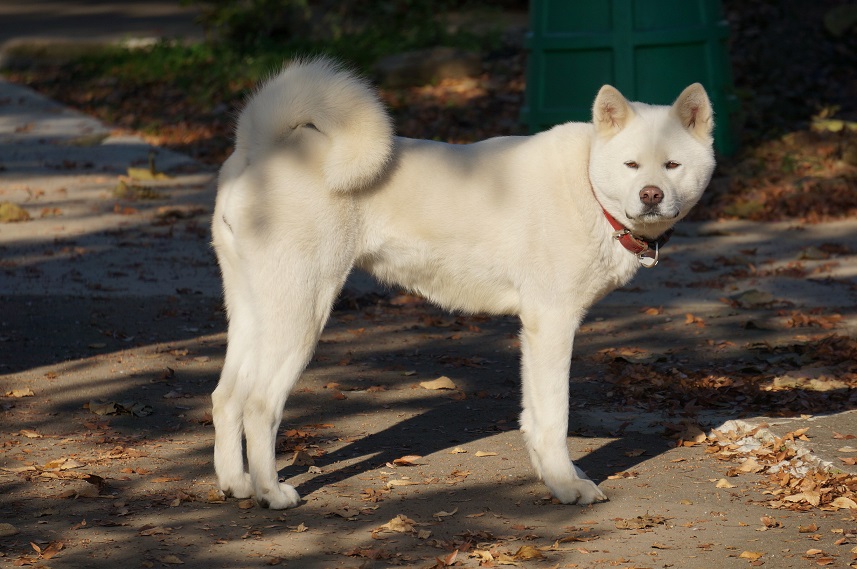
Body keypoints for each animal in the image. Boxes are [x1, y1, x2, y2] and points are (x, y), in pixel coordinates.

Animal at [209, 57, 716, 508]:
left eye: (671, 166)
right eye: (631, 165)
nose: (651, 195)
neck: (587, 186)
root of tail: (260, 149)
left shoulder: (536, 332)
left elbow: (535, 418)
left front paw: (554, 478)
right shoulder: (552, 324)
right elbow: (554, 417)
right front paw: (567, 486)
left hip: (254, 314)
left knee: (226, 397)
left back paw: (236, 484)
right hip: (301, 315)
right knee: (258, 405)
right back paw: (271, 493)